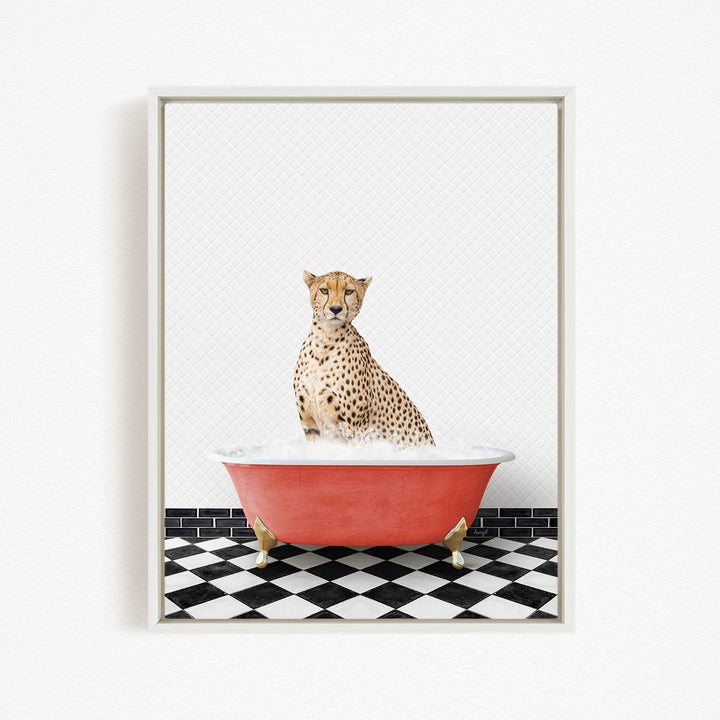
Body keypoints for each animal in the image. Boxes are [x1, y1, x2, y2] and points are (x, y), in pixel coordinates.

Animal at [293, 270, 435, 447]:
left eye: (349, 291)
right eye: (324, 290)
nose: (335, 309)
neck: (325, 340)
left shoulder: (355, 430)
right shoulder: (310, 425)